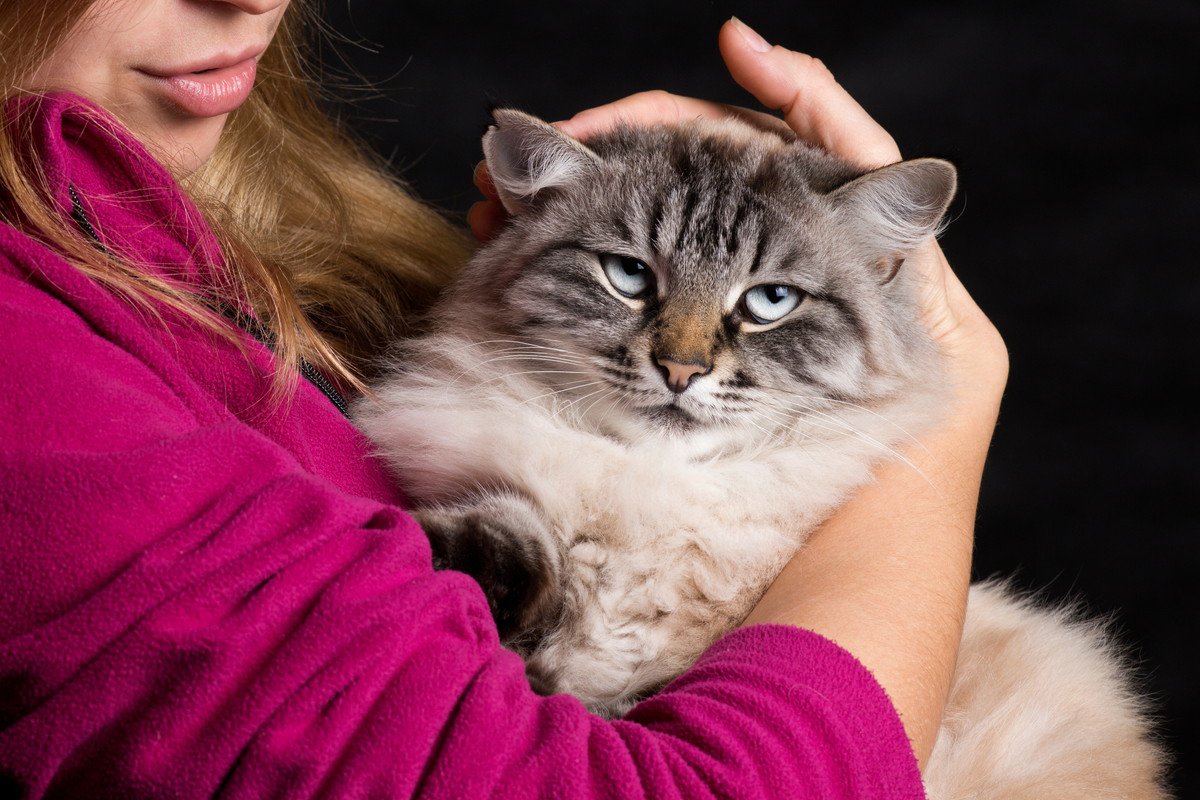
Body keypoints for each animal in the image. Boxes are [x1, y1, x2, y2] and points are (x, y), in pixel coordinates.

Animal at [352, 109, 1161, 796]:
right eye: (630, 276)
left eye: (770, 302)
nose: (680, 371)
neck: (657, 487)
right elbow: (511, 536)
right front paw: (433, 558)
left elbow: (607, 691)